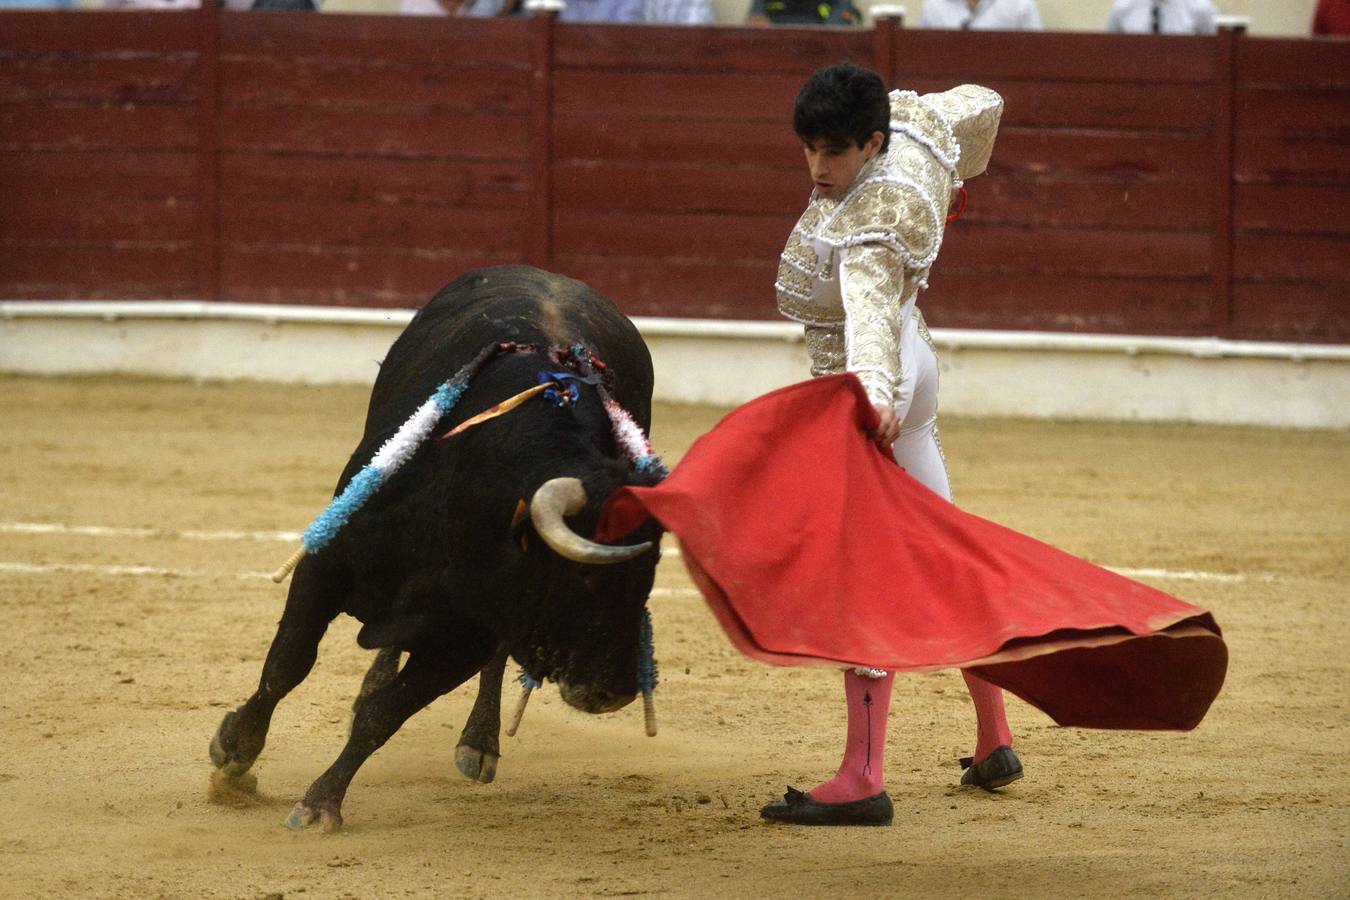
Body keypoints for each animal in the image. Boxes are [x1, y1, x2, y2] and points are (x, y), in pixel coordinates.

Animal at [207, 265, 666, 831]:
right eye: (583, 576)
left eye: (645, 582)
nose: (615, 691)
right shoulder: (325, 566)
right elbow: (288, 664)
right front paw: (235, 753)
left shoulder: (466, 637)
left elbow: (385, 716)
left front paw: (320, 804)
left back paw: (480, 742)